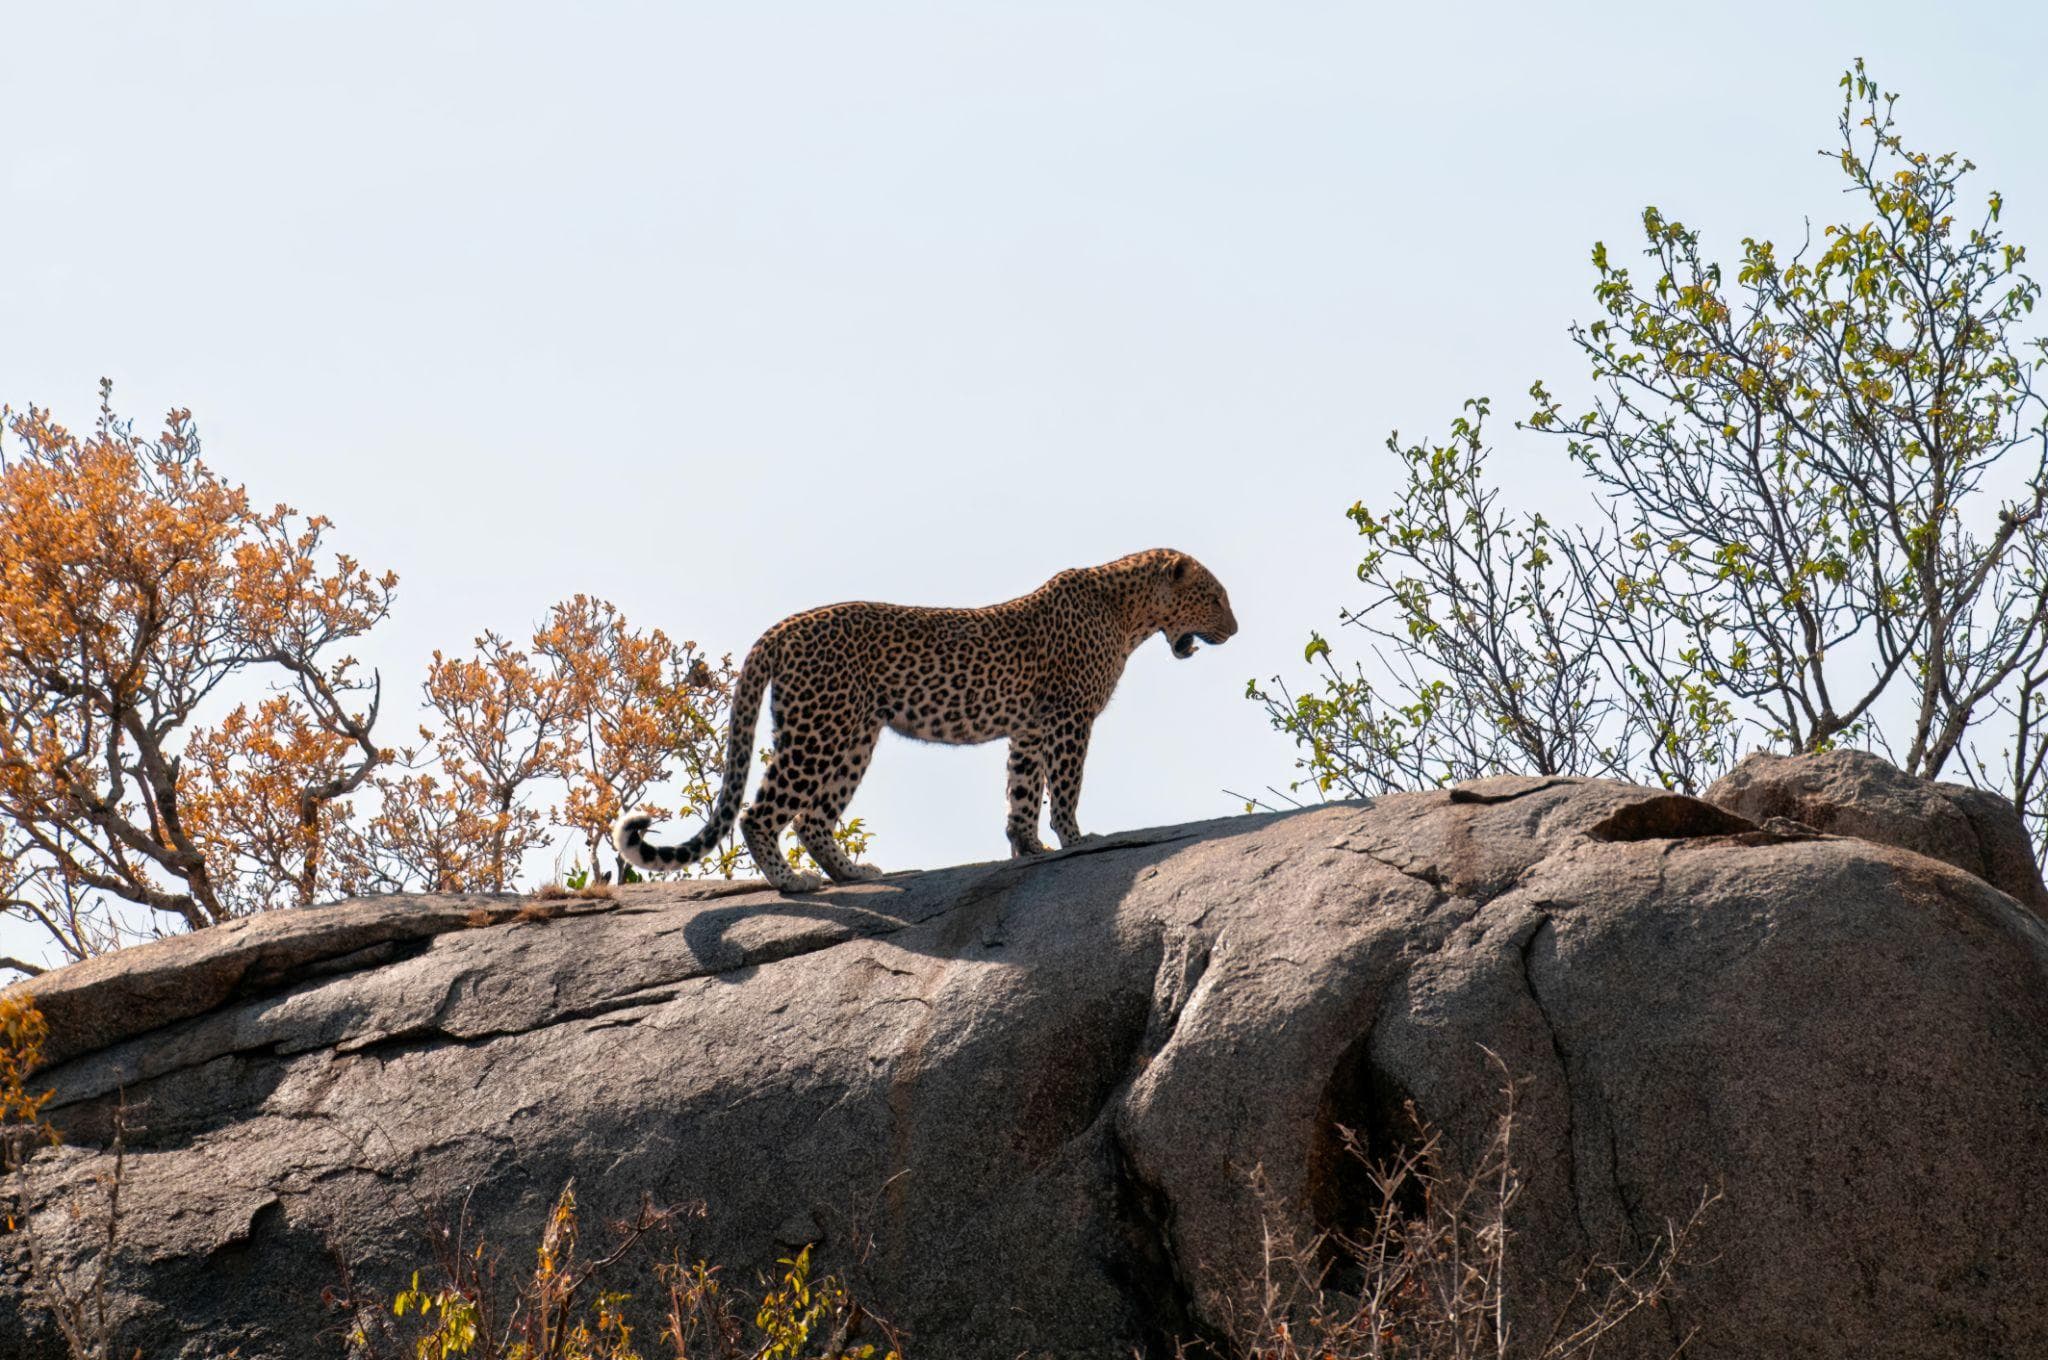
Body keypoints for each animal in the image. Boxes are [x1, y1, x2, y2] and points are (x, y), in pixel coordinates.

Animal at [613, 548, 1238, 893]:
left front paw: (1028, 848)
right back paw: (792, 883)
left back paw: (853, 874)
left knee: (814, 816)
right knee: (760, 812)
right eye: (1215, 597)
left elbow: (1021, 792)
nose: (1234, 630)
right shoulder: (1069, 718)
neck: (1131, 613)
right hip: (820, 729)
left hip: (854, 735)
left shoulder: (1029, 728)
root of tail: (782, 627)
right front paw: (1078, 840)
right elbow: (1064, 785)